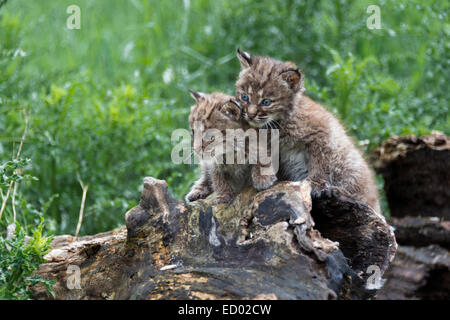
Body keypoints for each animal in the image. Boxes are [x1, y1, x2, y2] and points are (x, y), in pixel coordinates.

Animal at [234, 49, 382, 215]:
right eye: (245, 97)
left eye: (266, 102)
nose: (250, 114)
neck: (277, 124)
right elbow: (259, 154)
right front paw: (261, 177)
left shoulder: (321, 135)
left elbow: (320, 163)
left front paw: (315, 184)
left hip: (348, 163)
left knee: (366, 202)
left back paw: (336, 191)